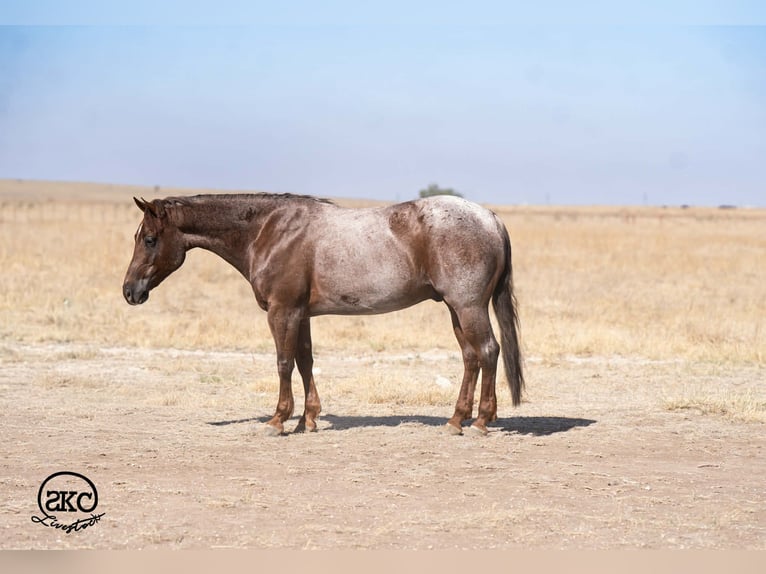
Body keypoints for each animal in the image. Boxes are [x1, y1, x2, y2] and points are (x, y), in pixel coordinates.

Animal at [122, 193, 524, 436]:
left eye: (150, 239)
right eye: (138, 237)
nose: (129, 291)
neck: (268, 231)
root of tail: (491, 218)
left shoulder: (282, 312)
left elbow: (284, 362)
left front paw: (278, 420)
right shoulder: (301, 314)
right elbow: (305, 361)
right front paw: (309, 419)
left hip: (468, 306)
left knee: (488, 352)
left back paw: (480, 421)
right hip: (456, 309)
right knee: (471, 357)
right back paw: (456, 419)